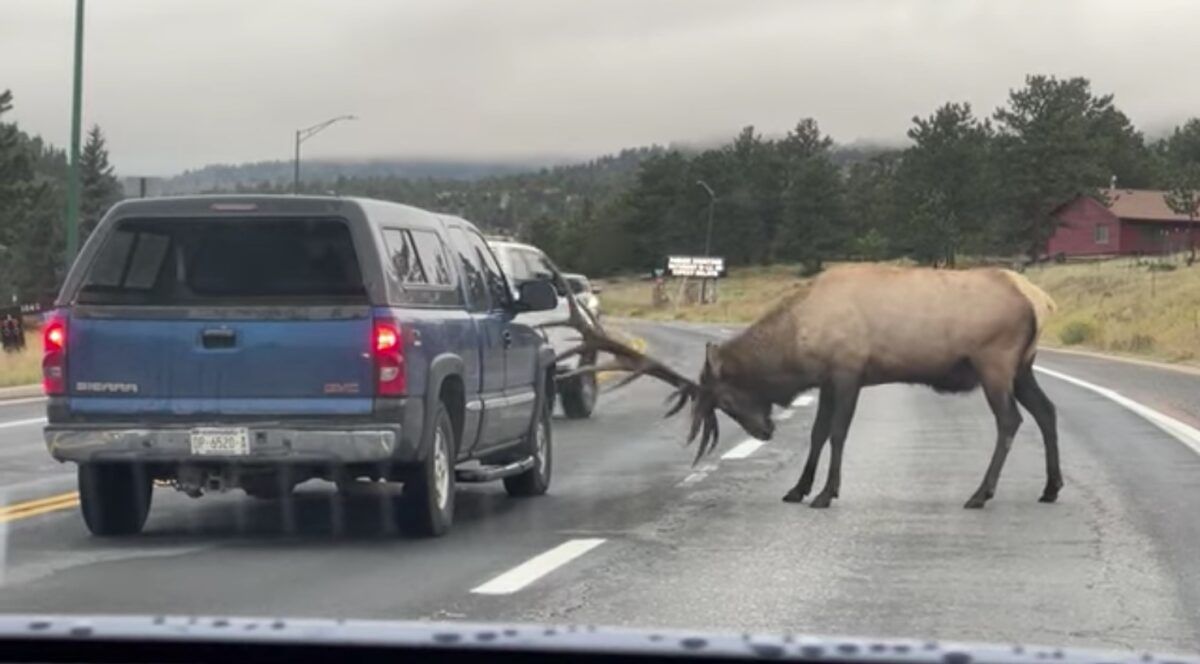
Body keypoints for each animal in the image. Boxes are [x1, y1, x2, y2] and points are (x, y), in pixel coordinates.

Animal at [552, 262, 1060, 506]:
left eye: (725, 397)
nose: (765, 431)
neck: (797, 342)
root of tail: (1040, 299)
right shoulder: (828, 379)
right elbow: (817, 434)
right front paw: (798, 489)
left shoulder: (849, 369)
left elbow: (837, 433)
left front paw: (825, 494)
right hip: (1023, 366)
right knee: (1046, 412)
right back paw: (1050, 488)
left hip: (995, 361)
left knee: (1011, 421)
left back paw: (980, 494)